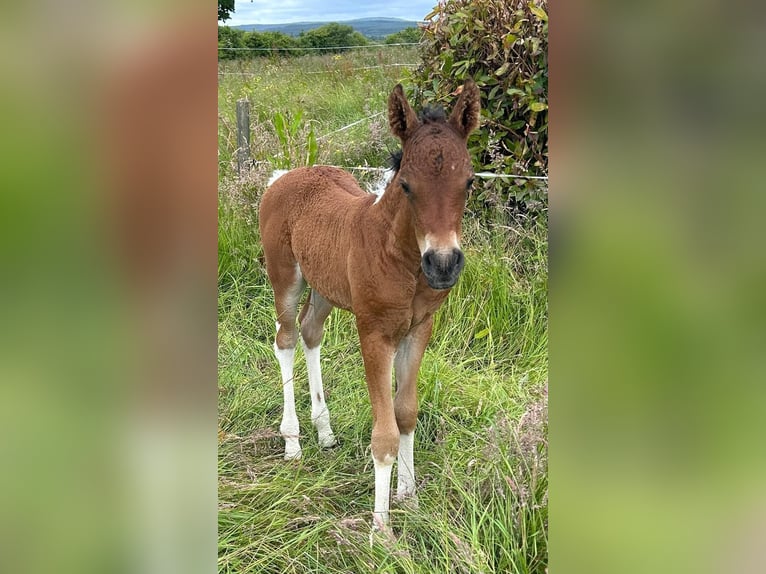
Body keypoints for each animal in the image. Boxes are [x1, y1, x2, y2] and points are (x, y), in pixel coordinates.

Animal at [260, 80, 484, 532]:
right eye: (407, 185)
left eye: (469, 182)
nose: (443, 264)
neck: (399, 256)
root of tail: (284, 175)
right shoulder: (375, 333)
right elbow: (384, 433)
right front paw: (382, 528)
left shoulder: (418, 329)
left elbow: (406, 413)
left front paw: (408, 495)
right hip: (285, 277)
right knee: (286, 339)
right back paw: (293, 442)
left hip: (326, 287)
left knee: (311, 332)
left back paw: (325, 432)